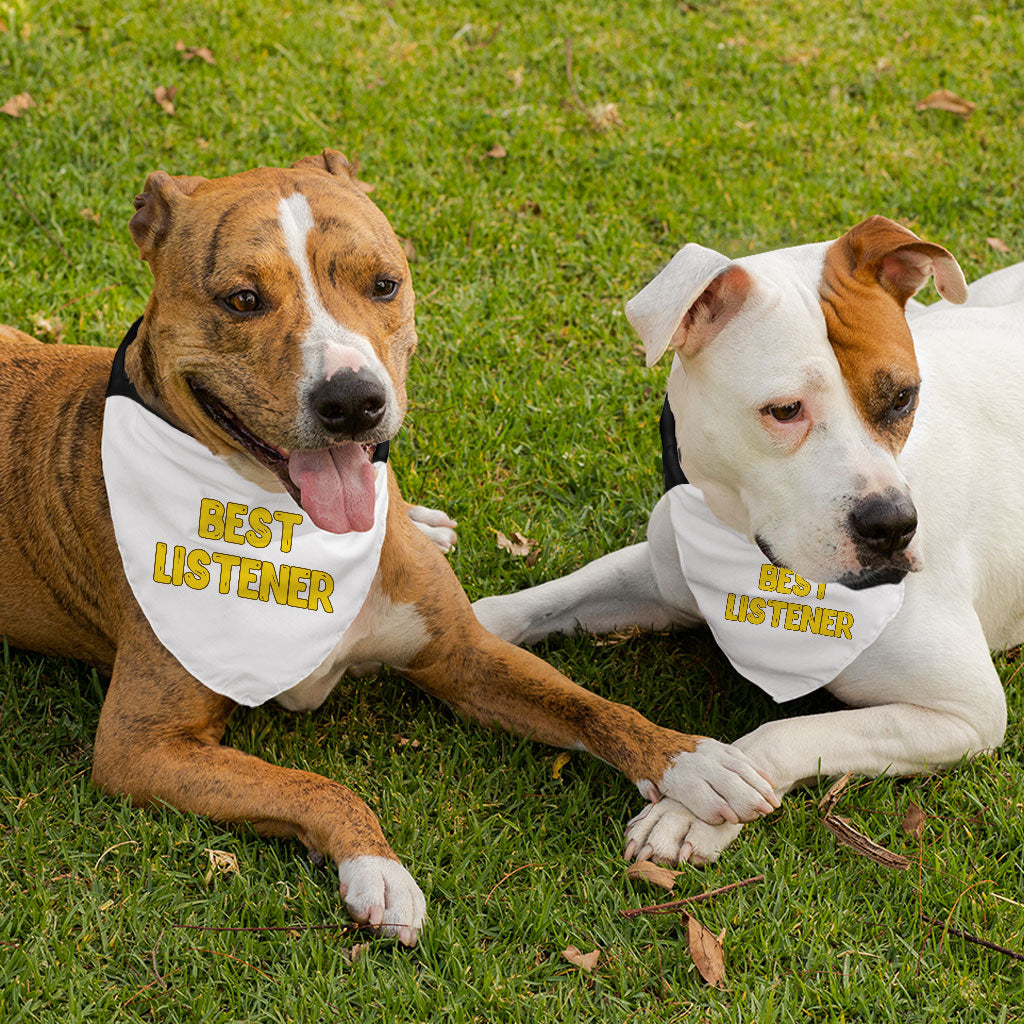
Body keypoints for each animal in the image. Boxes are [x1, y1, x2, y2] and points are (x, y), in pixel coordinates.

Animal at [0, 149, 770, 942]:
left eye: (383, 284)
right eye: (242, 300)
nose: (352, 400)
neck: (297, 533)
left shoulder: (461, 654)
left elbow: (589, 703)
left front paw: (690, 761)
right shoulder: (142, 744)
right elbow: (315, 786)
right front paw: (378, 867)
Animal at [475, 216, 1019, 864]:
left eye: (903, 398)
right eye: (784, 410)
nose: (892, 525)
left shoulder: (965, 712)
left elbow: (786, 732)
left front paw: (690, 807)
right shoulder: (664, 575)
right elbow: (541, 601)